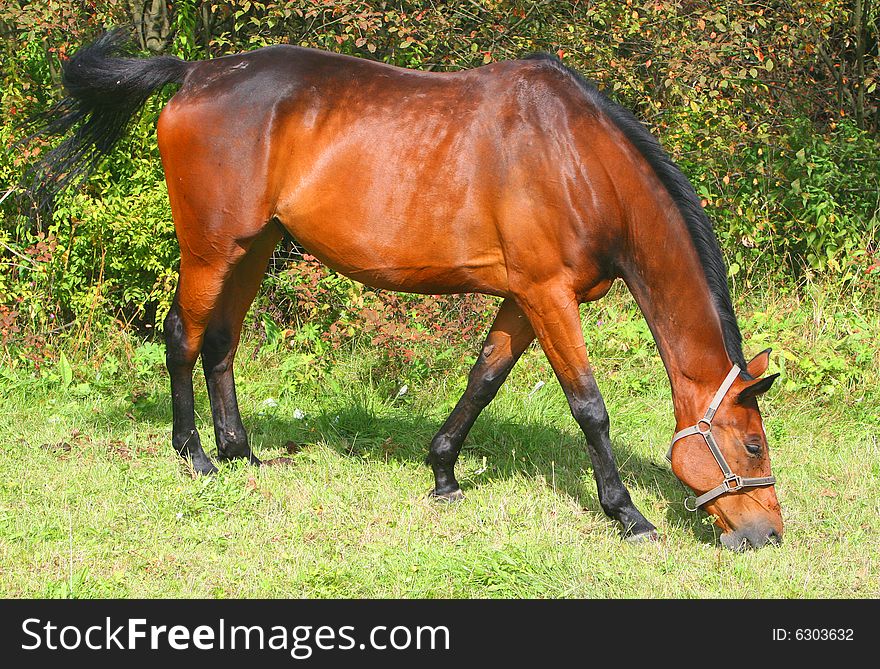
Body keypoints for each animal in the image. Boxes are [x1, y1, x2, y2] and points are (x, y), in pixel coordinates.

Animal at [24, 30, 784, 548]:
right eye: (753, 445)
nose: (768, 534)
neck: (578, 157)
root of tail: (193, 72)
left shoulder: (524, 297)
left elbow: (483, 379)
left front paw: (444, 472)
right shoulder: (547, 294)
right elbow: (589, 407)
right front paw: (627, 513)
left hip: (255, 246)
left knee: (221, 341)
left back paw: (242, 451)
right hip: (210, 248)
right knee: (182, 336)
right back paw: (197, 456)